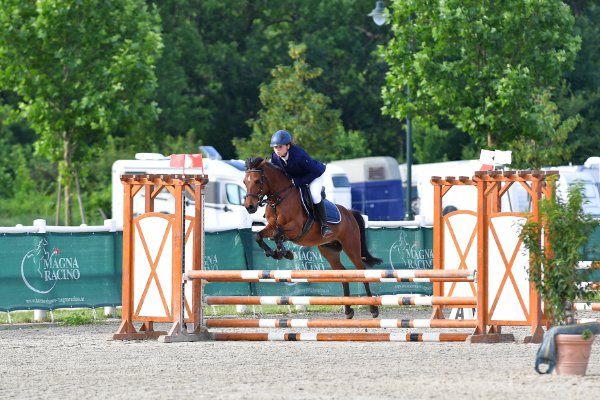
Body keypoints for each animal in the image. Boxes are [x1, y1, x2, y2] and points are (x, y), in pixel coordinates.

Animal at [241, 157, 382, 318]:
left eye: (257, 181)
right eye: (245, 181)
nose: (249, 207)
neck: (279, 199)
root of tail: (349, 213)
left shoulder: (295, 228)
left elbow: (278, 234)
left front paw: (284, 253)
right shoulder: (271, 227)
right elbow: (259, 236)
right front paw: (275, 253)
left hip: (351, 246)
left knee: (361, 270)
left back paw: (373, 309)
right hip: (329, 250)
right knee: (342, 273)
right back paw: (348, 310)